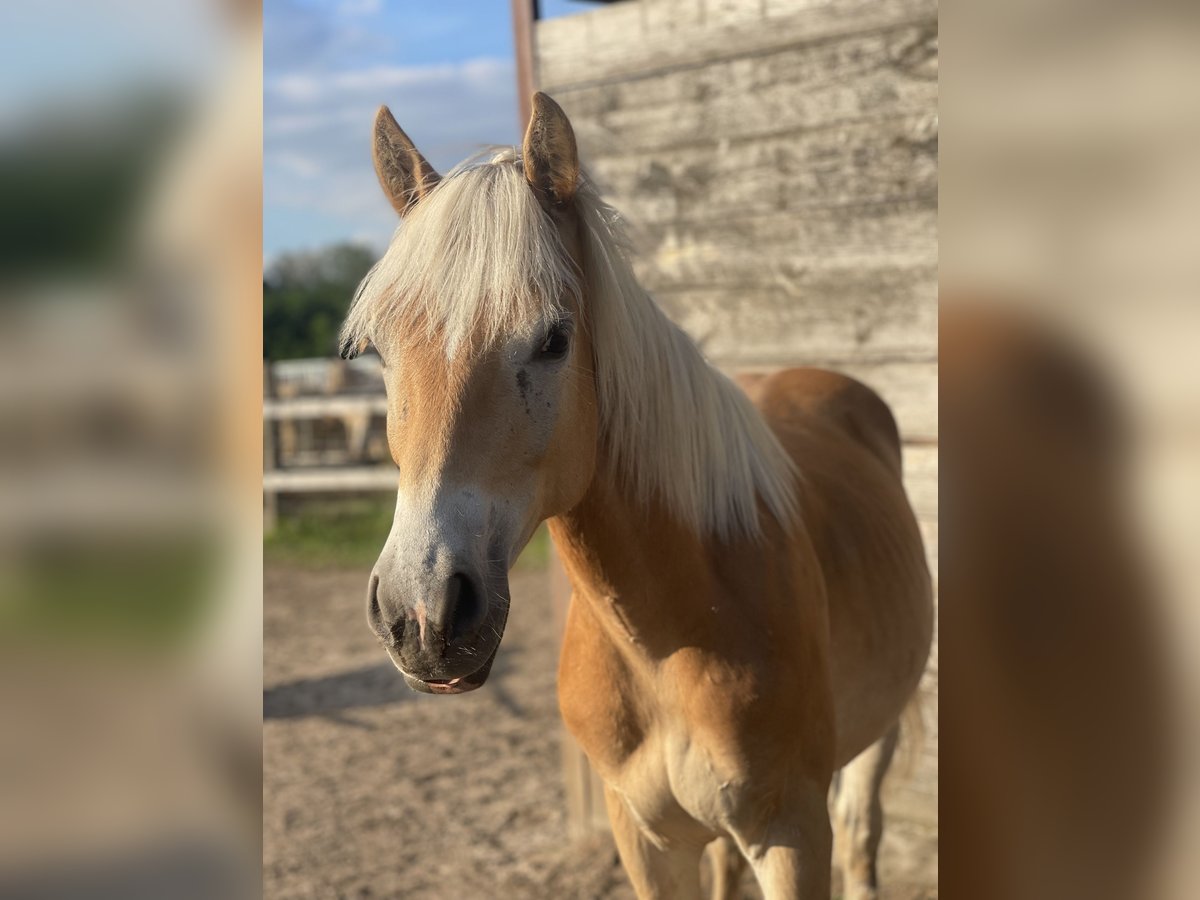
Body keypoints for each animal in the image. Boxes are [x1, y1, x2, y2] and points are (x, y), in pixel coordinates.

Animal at [340, 93, 936, 900]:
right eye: (379, 350)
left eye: (554, 339)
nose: (422, 614)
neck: (672, 631)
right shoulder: (646, 839)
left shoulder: (793, 835)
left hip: (877, 740)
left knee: (863, 836)